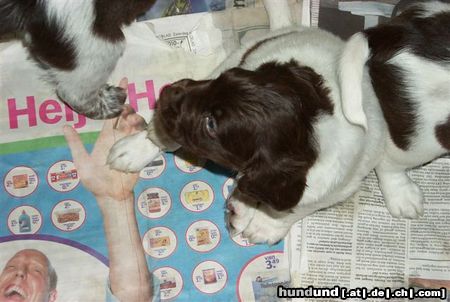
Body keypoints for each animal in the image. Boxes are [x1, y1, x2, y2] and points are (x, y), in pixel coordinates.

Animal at [109, 1, 450, 244]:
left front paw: (265, 224)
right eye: (221, 81)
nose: (167, 93)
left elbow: (298, 206)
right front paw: (142, 145)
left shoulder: (338, 183)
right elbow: (168, 135)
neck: (312, 129)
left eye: (211, 125)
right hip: (237, 53)